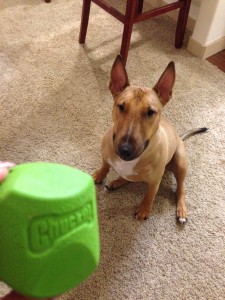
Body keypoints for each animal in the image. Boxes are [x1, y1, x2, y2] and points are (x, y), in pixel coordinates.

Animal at [93, 56, 207, 224]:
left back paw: (181, 210)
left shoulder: (155, 181)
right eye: (121, 106)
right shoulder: (105, 156)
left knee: (181, 189)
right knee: (130, 178)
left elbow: (150, 195)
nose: (125, 150)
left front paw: (144, 210)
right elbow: (105, 165)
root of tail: (179, 137)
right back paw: (116, 182)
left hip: (180, 162)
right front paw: (100, 175)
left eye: (150, 112)